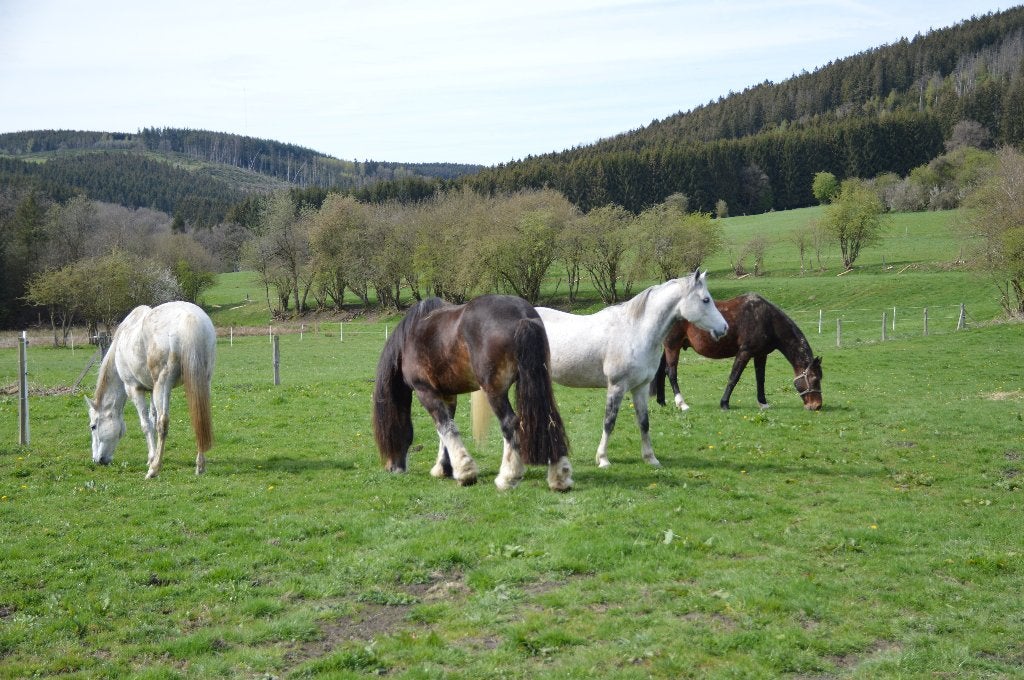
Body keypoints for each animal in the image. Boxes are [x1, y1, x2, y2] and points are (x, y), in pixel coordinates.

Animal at [86, 301, 216, 479]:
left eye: (93, 426)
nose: (97, 460)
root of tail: (190, 319)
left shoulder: (134, 389)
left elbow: (147, 424)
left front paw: (152, 459)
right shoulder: (152, 390)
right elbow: (152, 419)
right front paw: (151, 457)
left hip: (163, 385)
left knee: (163, 423)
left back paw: (154, 470)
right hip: (202, 382)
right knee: (200, 418)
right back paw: (200, 466)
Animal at [372, 295, 573, 492]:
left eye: (387, 433)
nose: (391, 468)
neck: (410, 338)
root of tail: (522, 316)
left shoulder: (426, 391)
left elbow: (445, 428)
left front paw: (464, 472)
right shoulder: (447, 395)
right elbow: (446, 428)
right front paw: (444, 468)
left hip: (494, 391)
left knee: (510, 423)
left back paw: (508, 477)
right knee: (549, 419)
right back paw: (559, 477)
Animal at [536, 269, 728, 468]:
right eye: (706, 299)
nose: (724, 328)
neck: (635, 332)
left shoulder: (640, 388)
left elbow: (644, 422)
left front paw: (651, 458)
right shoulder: (617, 387)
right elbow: (609, 422)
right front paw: (603, 458)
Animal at [651, 292, 823, 411]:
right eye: (814, 379)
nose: (817, 405)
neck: (767, 320)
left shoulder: (760, 355)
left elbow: (760, 379)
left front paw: (763, 403)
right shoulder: (744, 352)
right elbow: (734, 377)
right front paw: (724, 403)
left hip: (669, 347)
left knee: (661, 371)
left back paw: (662, 401)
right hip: (673, 346)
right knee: (671, 372)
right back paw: (682, 404)